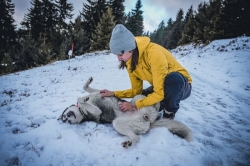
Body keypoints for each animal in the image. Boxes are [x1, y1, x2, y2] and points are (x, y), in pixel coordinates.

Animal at [58, 77, 193, 148]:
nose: (68, 118)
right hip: (118, 123)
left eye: (66, 115)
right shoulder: (96, 111)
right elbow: (80, 99)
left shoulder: (99, 92)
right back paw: (129, 142)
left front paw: (87, 89)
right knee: (136, 137)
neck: (82, 113)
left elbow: (86, 89)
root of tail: (148, 121)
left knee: (145, 101)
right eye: (66, 120)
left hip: (137, 98)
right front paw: (83, 99)